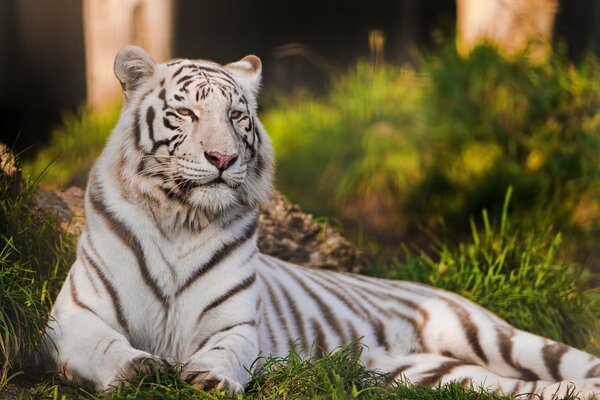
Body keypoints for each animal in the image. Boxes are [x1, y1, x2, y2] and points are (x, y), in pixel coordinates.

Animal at [44, 46, 600, 396]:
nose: (223, 158)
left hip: (493, 336)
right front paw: (139, 368)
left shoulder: (236, 323)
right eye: (185, 115)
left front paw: (208, 377)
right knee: (522, 389)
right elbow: (105, 346)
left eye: (238, 117)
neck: (180, 217)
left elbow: (225, 350)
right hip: (434, 375)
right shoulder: (73, 316)